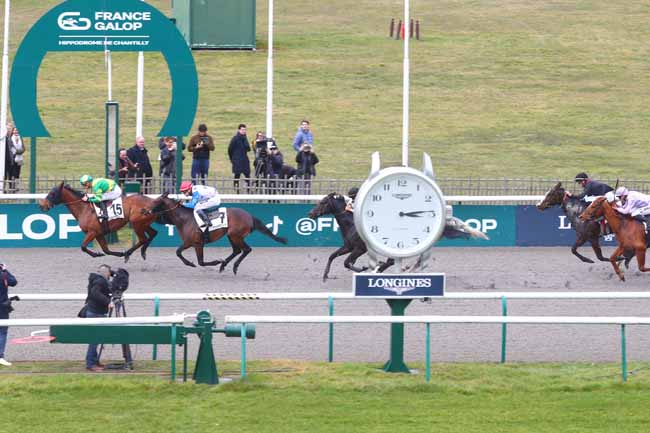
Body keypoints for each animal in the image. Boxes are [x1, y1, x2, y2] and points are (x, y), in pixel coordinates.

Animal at [151, 194, 288, 272]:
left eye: (157, 202)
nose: (149, 211)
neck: (185, 219)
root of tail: (249, 216)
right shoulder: (190, 243)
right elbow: (178, 252)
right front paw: (191, 263)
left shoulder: (196, 243)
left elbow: (199, 261)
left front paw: (215, 262)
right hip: (231, 236)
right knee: (237, 250)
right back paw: (224, 265)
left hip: (235, 235)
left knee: (246, 249)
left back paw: (234, 266)